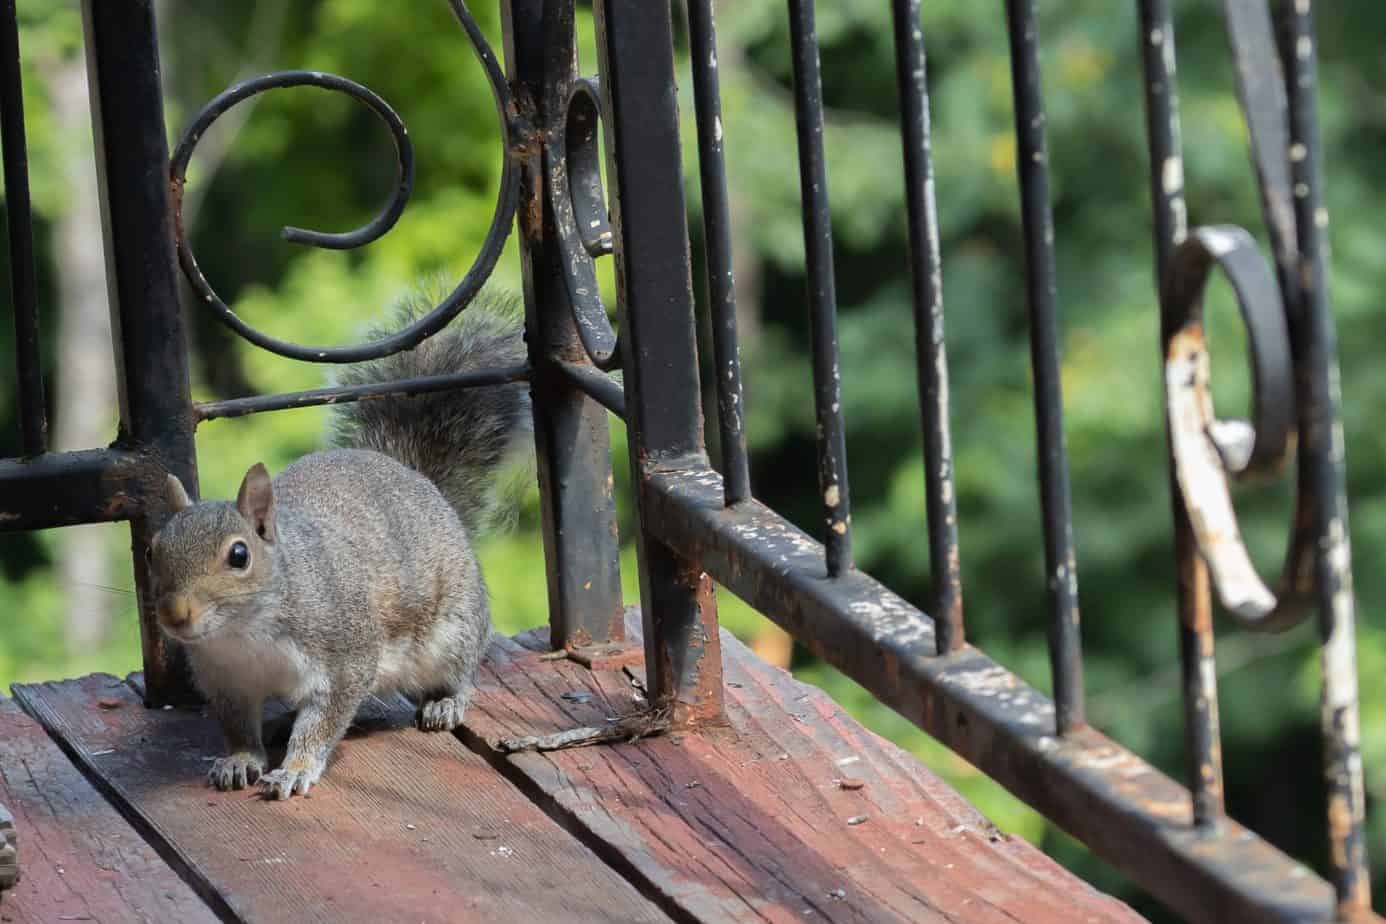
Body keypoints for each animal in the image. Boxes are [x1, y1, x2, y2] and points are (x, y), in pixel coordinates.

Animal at [147, 291, 530, 799]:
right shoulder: (225, 680)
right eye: (152, 551)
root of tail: (426, 487)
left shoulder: (345, 656)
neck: (244, 634)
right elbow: (238, 727)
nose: (174, 615)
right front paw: (240, 760)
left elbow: (324, 721)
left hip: (453, 629)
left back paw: (446, 702)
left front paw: (295, 768)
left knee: (462, 669)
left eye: (239, 555)